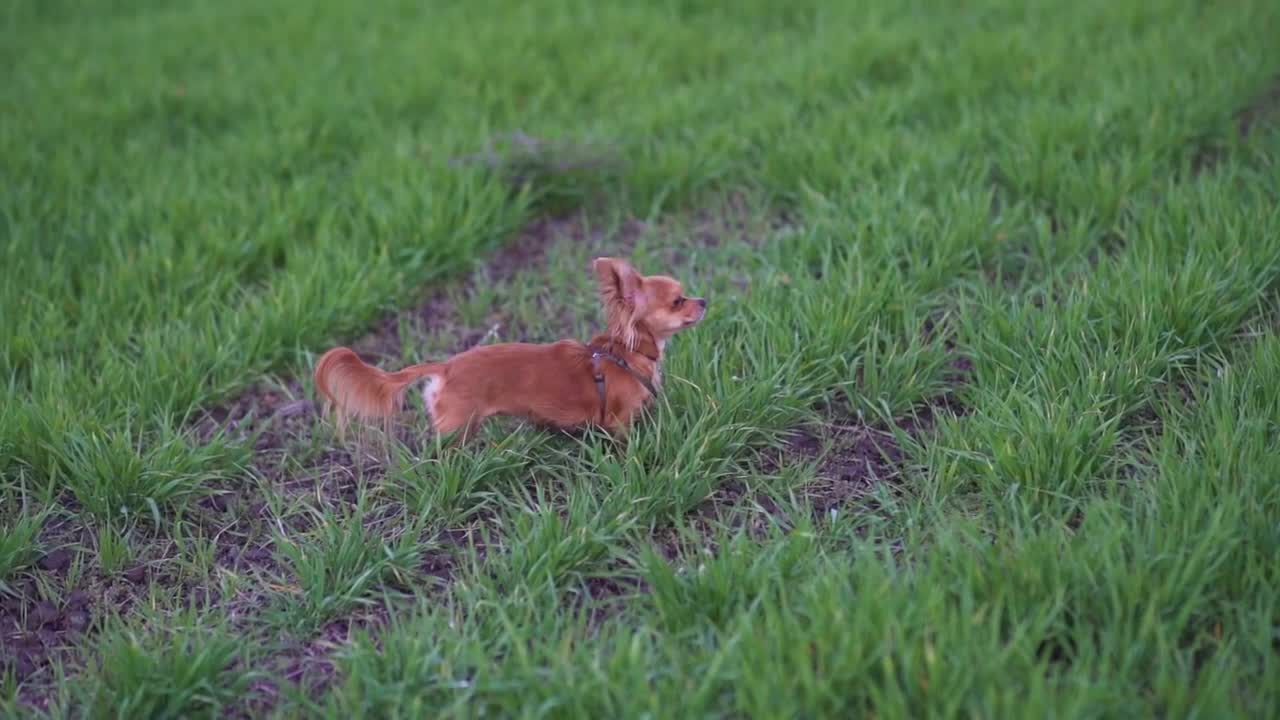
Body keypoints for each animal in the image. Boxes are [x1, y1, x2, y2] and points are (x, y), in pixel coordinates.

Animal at [311, 254, 711, 440]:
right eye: (678, 301)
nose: (705, 300)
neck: (625, 354)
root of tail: (446, 366)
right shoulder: (619, 422)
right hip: (457, 426)